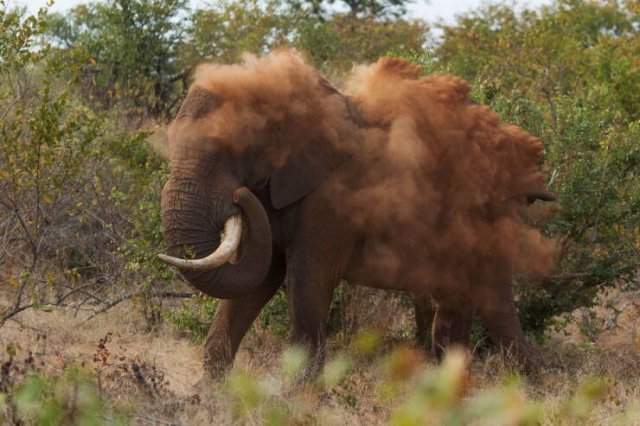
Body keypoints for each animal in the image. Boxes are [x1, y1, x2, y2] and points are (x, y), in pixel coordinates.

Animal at [159, 50, 556, 380]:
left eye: (231, 149)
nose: (238, 196)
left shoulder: (332, 202)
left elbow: (307, 280)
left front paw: (297, 398)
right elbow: (256, 277)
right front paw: (208, 394)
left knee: (491, 304)